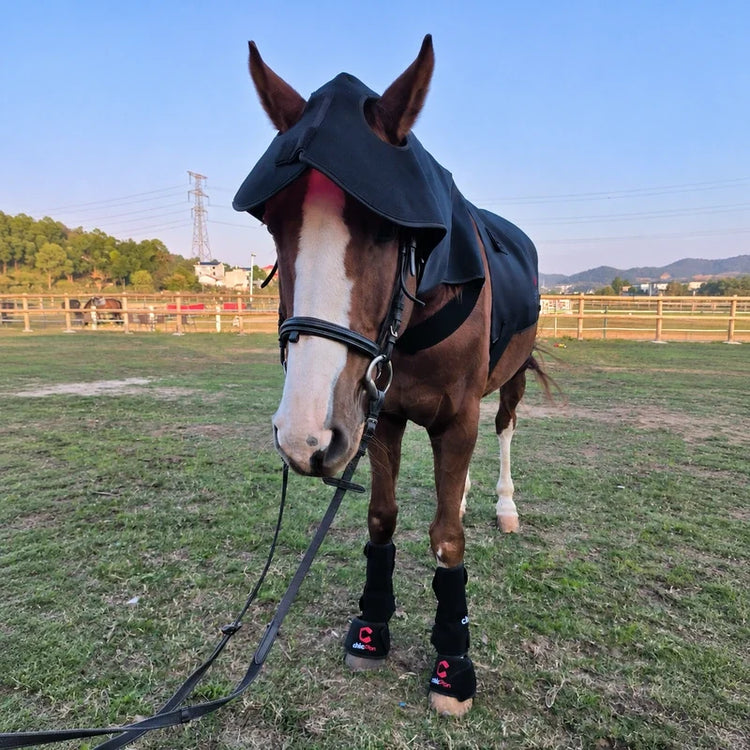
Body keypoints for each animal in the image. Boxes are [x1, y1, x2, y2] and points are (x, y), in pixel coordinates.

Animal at [233, 35, 550, 717]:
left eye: (389, 232)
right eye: (276, 227)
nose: (304, 437)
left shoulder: (453, 416)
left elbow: (449, 538)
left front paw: (453, 662)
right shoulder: (380, 412)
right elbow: (383, 517)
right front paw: (372, 626)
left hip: (507, 382)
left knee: (505, 429)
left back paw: (503, 504)